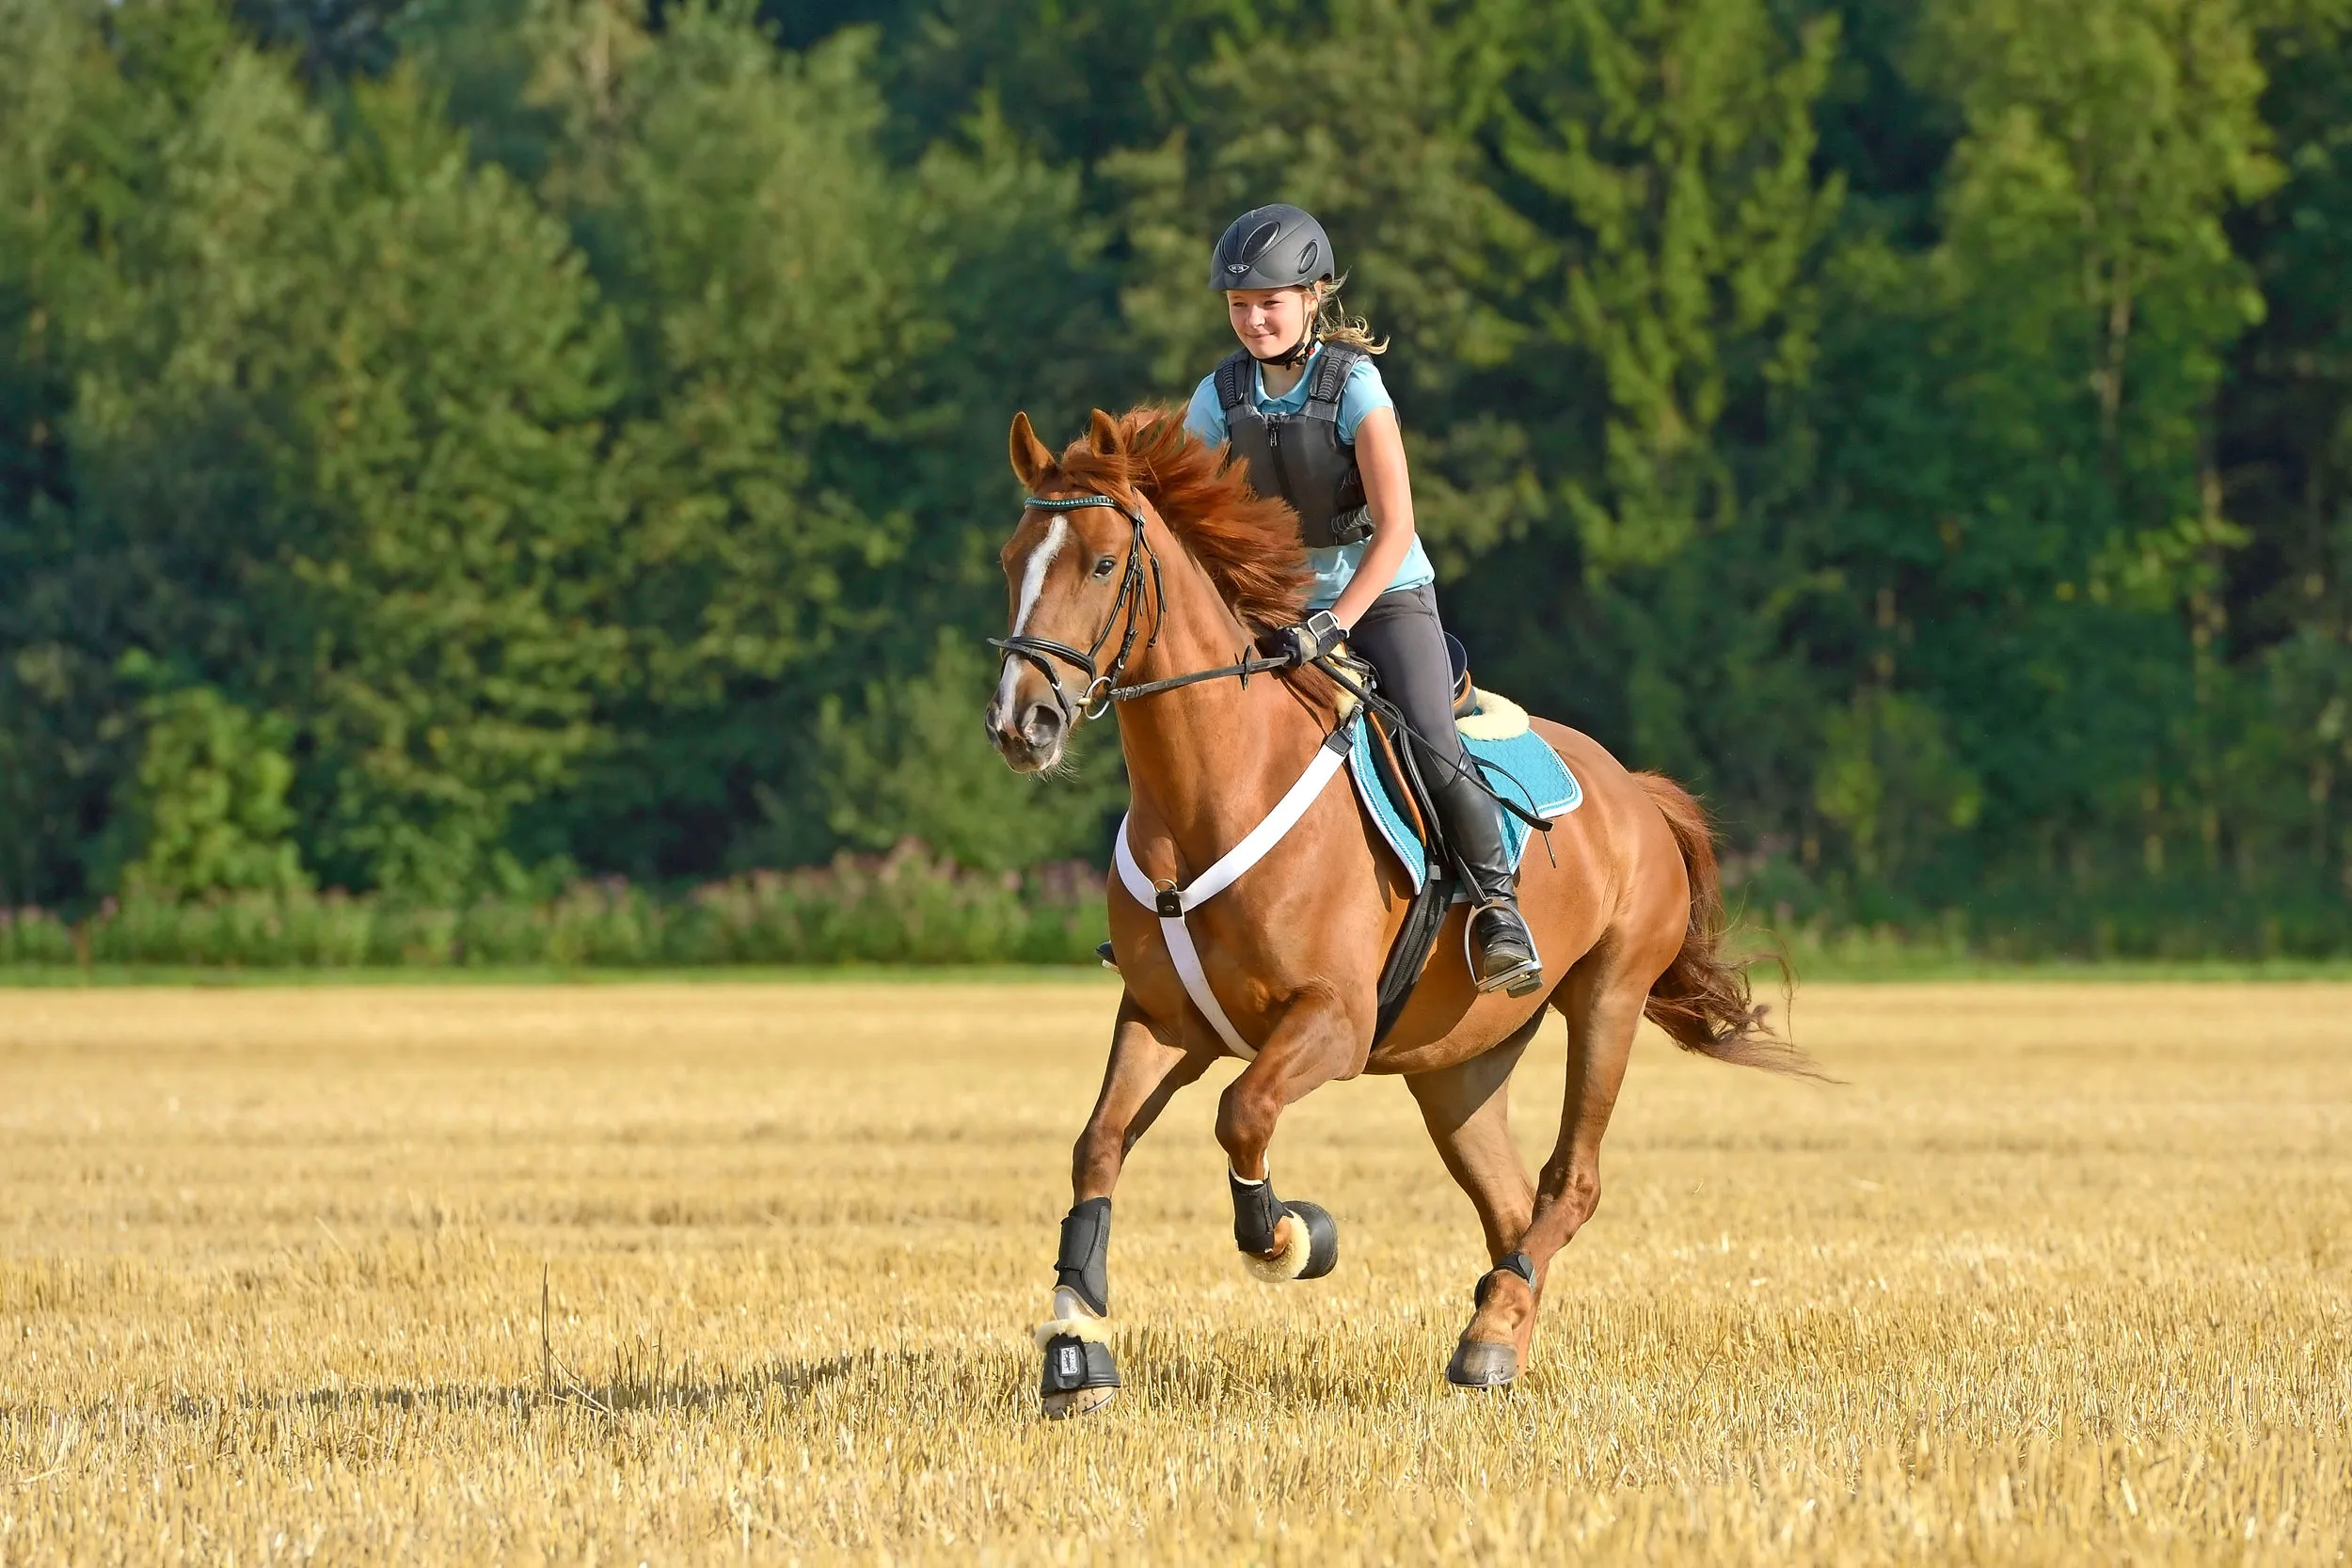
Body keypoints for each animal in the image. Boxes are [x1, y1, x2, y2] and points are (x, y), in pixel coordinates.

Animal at [985, 407, 1803, 1417]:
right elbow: (1097, 1145)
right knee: (1509, 1202)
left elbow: (1242, 1112)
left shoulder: (1332, 1022)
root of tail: (1636, 788)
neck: (1211, 787)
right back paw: (1496, 1332)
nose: (1022, 723)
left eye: (1102, 564)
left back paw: (1491, 1328)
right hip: (1456, 1064)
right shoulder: (1164, 1018)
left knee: (1571, 1182)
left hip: (1607, 999)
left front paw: (1291, 1235)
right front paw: (1076, 1345)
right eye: (1012, 559)